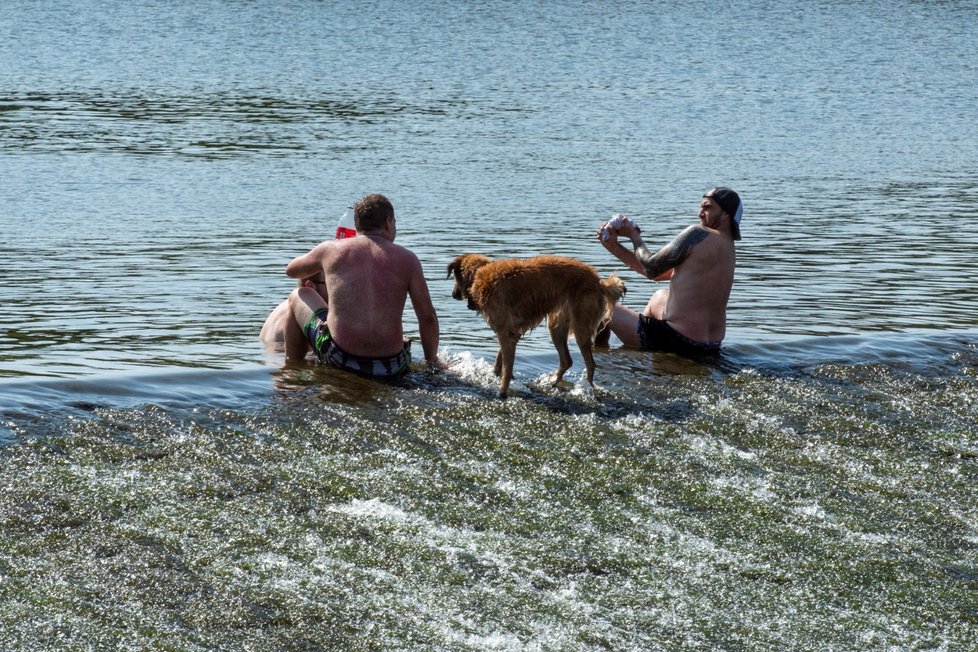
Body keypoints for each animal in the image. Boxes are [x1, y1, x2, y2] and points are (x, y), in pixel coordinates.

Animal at [444, 253, 620, 398]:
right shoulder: (509, 332)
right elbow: (499, 361)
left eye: (455, 278)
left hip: (580, 328)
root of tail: (598, 281)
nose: (453, 294)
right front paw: (494, 375)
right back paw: (553, 383)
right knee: (566, 360)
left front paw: (502, 392)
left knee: (590, 364)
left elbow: (507, 368)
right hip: (556, 326)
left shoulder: (506, 334)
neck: (479, 275)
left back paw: (587, 390)